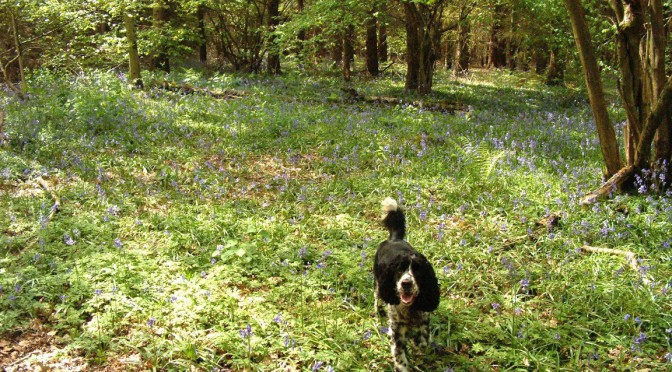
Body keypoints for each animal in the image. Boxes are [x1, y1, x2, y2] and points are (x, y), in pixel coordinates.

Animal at [372, 196, 440, 370]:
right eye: (399, 270)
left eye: (417, 271)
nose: (406, 283)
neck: (410, 309)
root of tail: (394, 239)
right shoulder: (398, 326)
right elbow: (399, 352)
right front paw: (402, 365)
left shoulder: (424, 317)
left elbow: (423, 341)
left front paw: (417, 343)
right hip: (378, 286)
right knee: (377, 299)